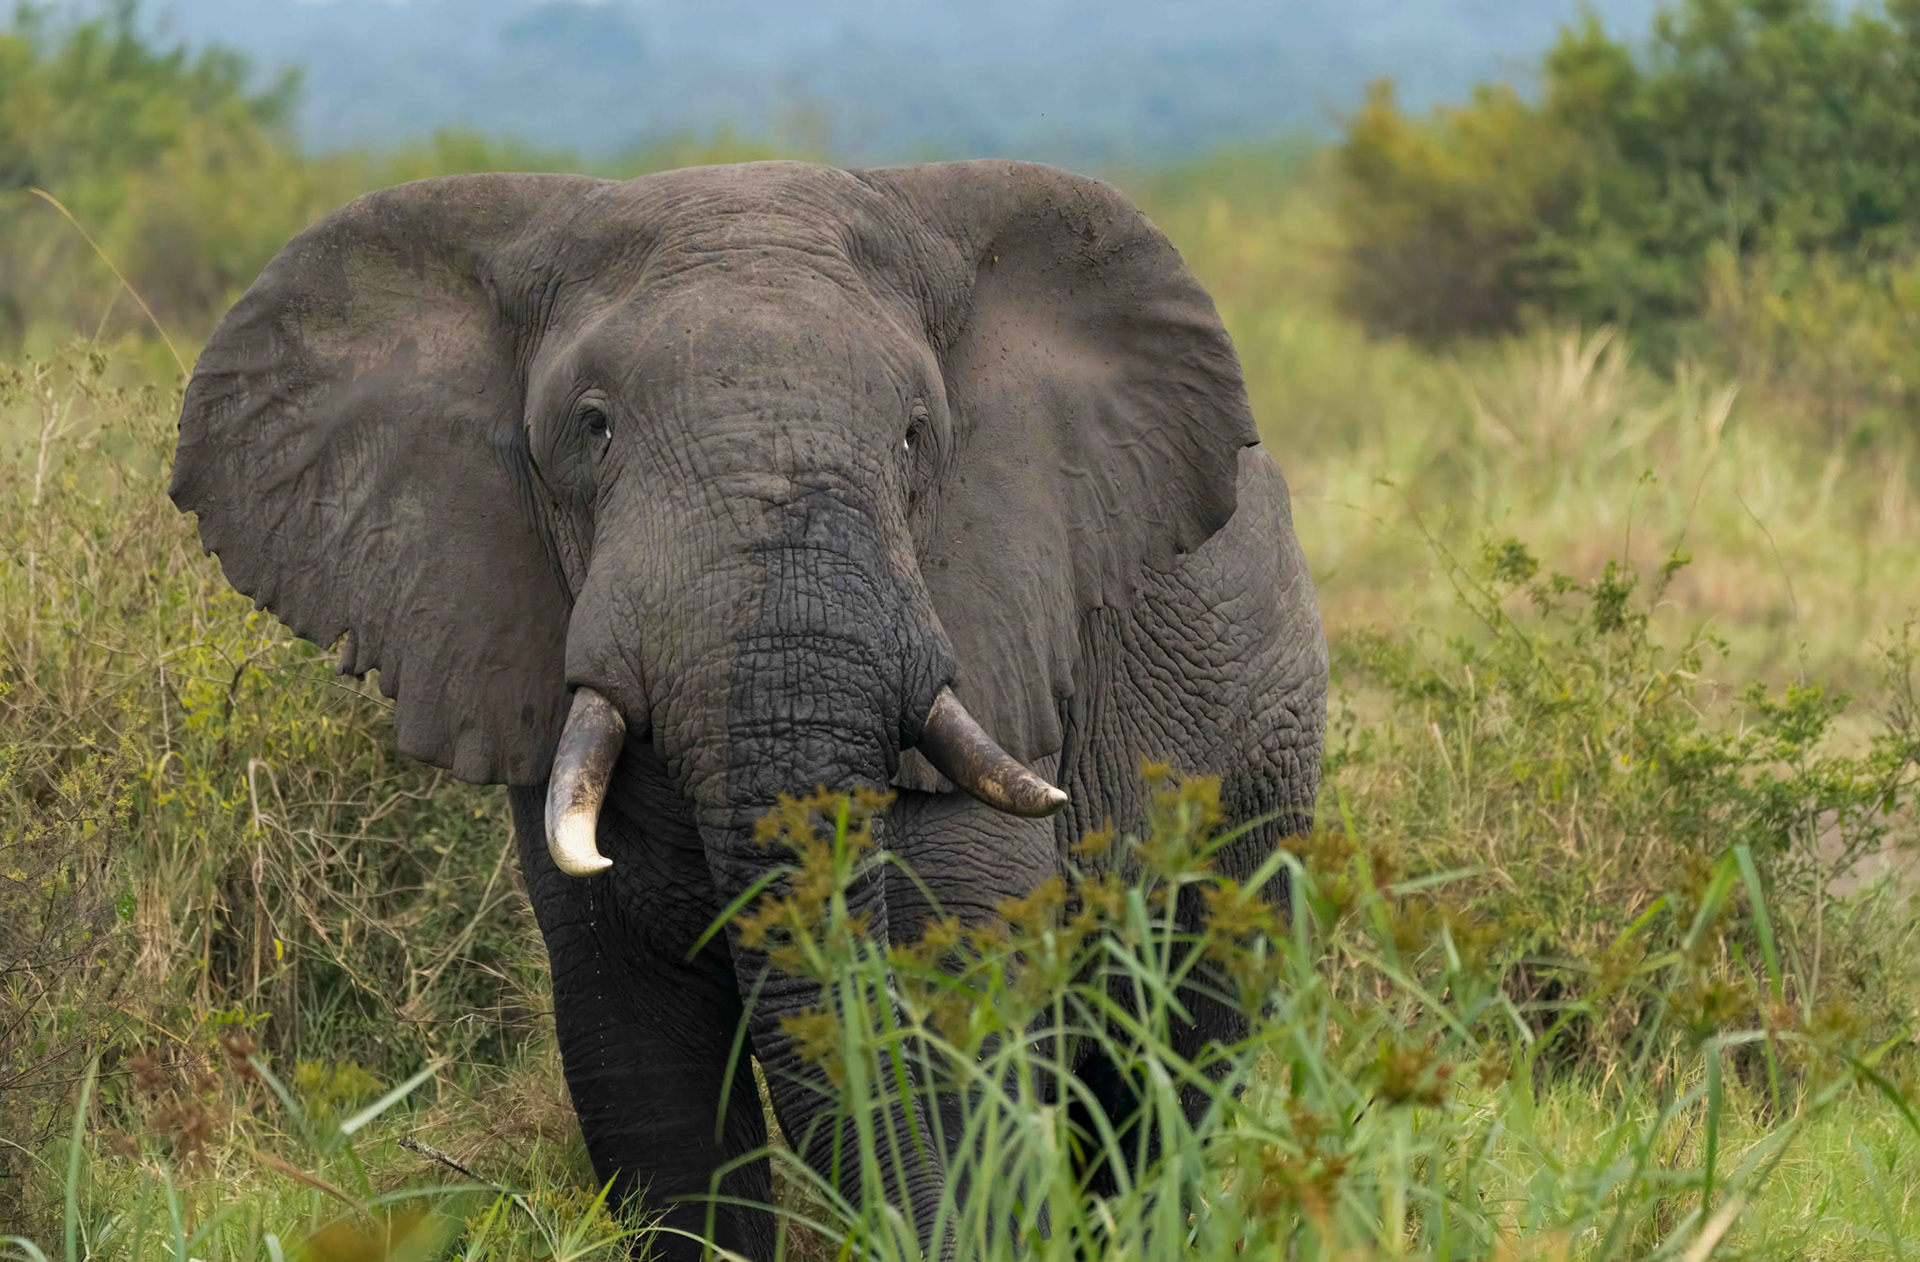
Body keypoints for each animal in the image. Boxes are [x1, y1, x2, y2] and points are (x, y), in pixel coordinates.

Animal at [170, 159, 1327, 1259]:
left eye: (915, 437)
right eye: (592, 428)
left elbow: (958, 1010)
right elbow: (642, 1060)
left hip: (1262, 758)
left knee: (1173, 1056)